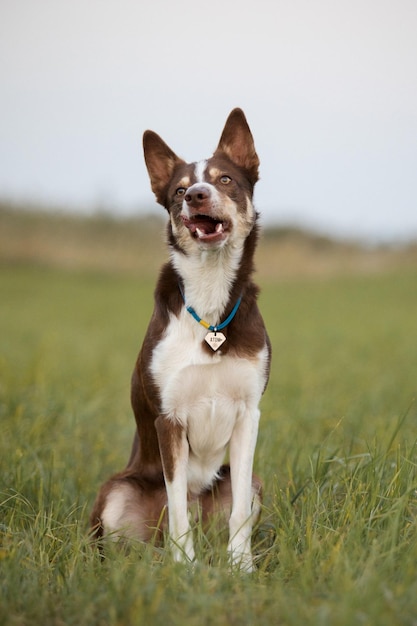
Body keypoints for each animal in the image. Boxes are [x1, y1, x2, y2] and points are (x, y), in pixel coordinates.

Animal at [90, 108, 272, 572]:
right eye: (179, 189)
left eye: (224, 179)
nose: (197, 196)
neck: (209, 295)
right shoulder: (168, 420)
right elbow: (177, 508)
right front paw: (184, 569)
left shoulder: (248, 415)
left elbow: (239, 510)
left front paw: (241, 567)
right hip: (118, 490)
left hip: (245, 482)